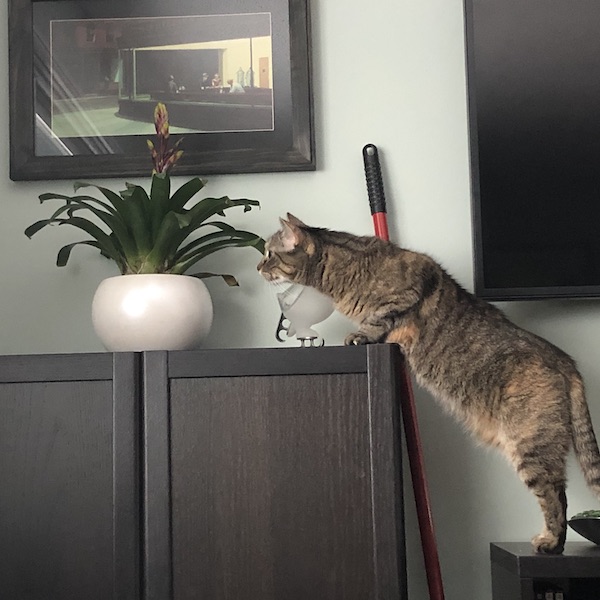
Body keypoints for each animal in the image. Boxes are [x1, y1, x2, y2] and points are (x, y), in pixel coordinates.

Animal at [255, 213, 600, 556]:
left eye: (269, 253)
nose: (258, 266)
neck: (343, 271)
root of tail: (566, 361)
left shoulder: (408, 288)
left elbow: (376, 320)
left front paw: (359, 335)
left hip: (531, 444)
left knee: (555, 496)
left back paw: (550, 542)